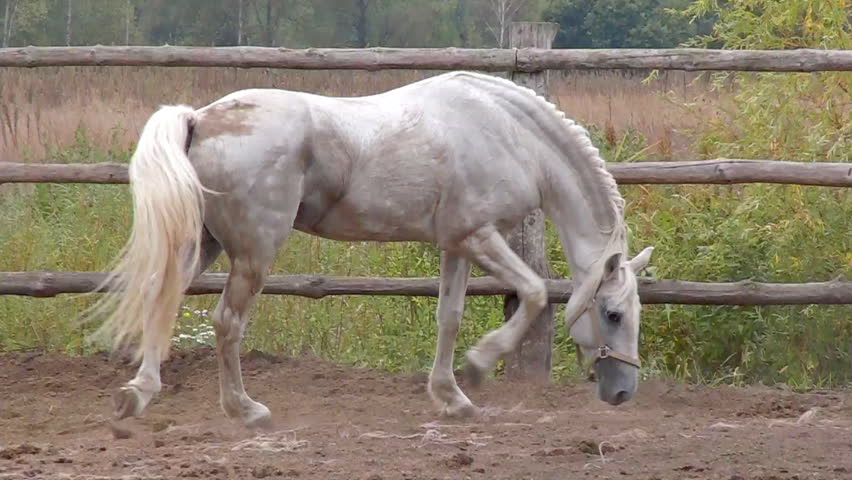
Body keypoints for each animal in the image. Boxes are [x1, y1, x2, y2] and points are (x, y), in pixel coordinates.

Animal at [85, 70, 654, 431]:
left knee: (162, 297)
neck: (510, 133)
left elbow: (449, 316)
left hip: (203, 244)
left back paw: (137, 394)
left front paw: (452, 398)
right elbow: (534, 293)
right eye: (613, 313)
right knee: (226, 322)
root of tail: (200, 119)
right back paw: (246, 411)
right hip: (253, 253)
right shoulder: (479, 235)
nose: (624, 391)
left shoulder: (456, 244)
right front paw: (478, 365)